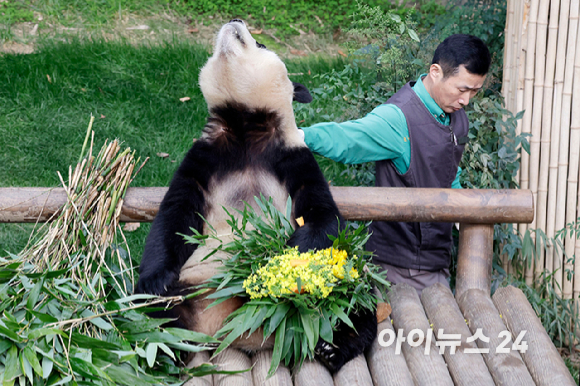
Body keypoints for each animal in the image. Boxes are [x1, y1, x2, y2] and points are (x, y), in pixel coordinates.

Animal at [137, 19, 380, 372]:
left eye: (262, 45)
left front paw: (276, 266)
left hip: (337, 280)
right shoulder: (205, 158)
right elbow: (173, 217)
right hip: (189, 286)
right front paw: (156, 280)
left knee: (355, 300)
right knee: (151, 313)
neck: (244, 127)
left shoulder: (293, 159)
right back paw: (164, 350)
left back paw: (331, 348)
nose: (234, 20)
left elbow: (322, 217)